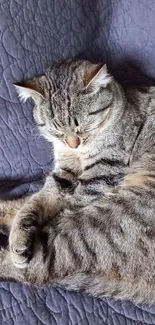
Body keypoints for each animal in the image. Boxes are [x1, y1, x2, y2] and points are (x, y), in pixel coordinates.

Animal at [0, 58, 155, 304]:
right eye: (57, 130)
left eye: (82, 125)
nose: (74, 143)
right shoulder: (63, 174)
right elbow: (33, 204)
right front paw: (21, 232)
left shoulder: (102, 172)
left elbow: (63, 205)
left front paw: (24, 239)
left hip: (100, 224)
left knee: (39, 267)